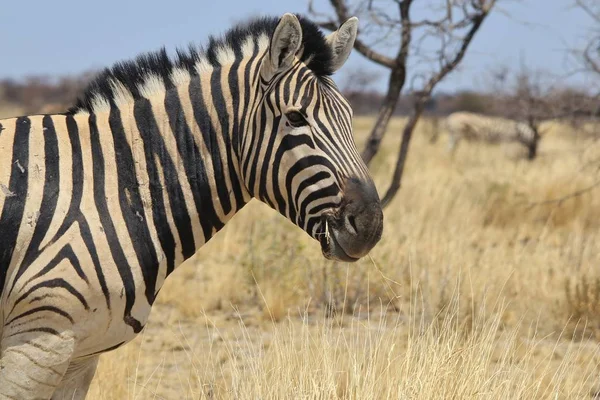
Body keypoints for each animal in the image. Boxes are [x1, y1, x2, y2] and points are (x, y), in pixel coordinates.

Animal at [0, 14, 384, 398]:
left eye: (350, 117)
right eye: (295, 118)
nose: (370, 226)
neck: (113, 182)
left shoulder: (81, 355)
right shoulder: (38, 343)